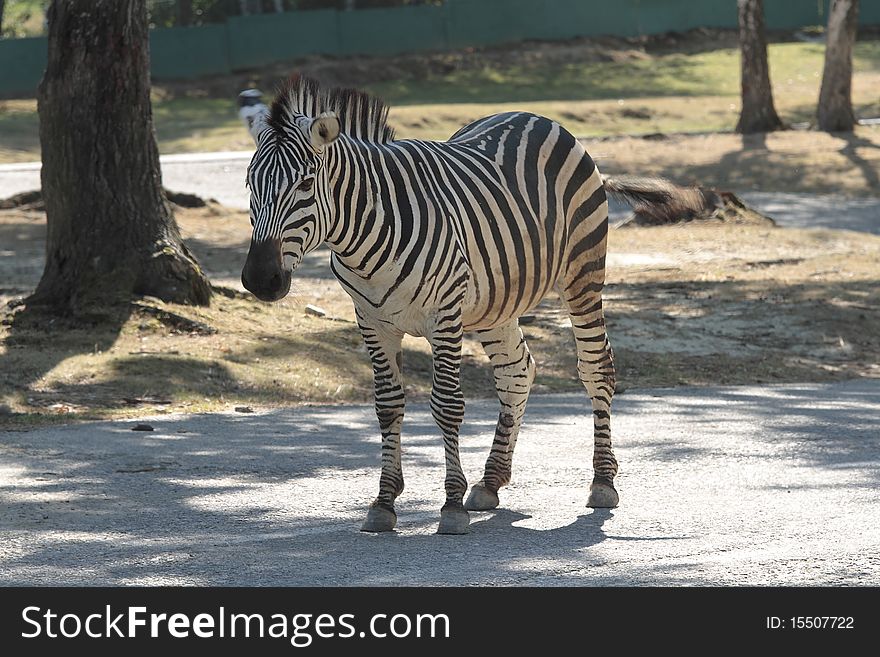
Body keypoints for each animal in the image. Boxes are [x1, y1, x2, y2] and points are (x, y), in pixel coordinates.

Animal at [235, 75, 700, 532]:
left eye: (305, 184)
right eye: (249, 184)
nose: (260, 279)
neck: (363, 238)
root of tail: (533, 115)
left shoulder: (444, 316)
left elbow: (447, 405)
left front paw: (450, 505)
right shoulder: (371, 321)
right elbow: (388, 406)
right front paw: (384, 502)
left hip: (581, 276)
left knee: (596, 368)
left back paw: (602, 481)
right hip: (498, 303)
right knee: (516, 372)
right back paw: (491, 481)